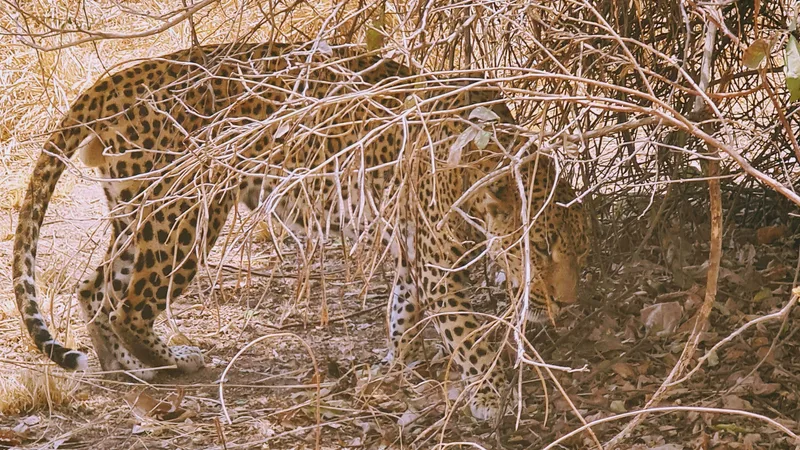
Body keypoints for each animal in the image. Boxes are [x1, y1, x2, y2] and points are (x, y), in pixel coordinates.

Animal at [12, 41, 589, 421]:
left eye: (580, 253)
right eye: (539, 247)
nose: (567, 306)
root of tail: (125, 75)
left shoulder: (412, 248)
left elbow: (403, 309)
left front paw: (390, 367)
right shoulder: (435, 257)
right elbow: (465, 332)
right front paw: (492, 398)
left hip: (137, 209)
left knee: (96, 287)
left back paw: (127, 370)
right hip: (183, 214)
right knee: (128, 303)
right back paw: (168, 361)